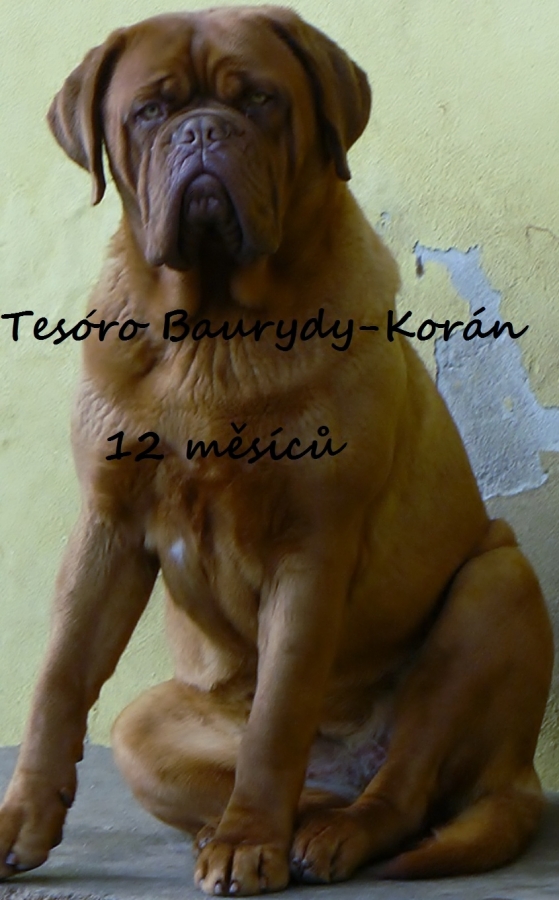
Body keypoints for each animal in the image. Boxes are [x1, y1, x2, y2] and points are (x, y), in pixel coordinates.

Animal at [0, 6, 553, 896]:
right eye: (149, 111)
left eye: (258, 100)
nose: (201, 130)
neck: (213, 330)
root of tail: (518, 772)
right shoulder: (106, 527)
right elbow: (56, 680)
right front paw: (21, 822)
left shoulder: (311, 546)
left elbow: (279, 713)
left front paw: (248, 842)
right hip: (142, 724)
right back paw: (258, 824)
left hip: (495, 585)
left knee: (402, 792)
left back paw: (322, 835)